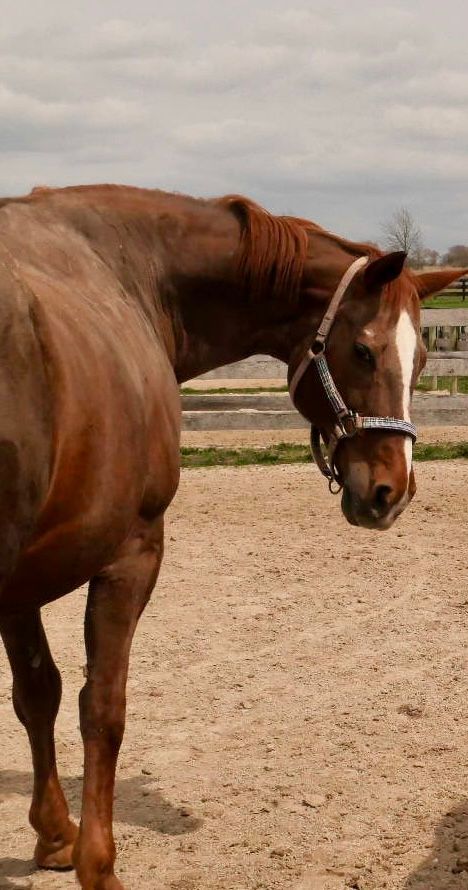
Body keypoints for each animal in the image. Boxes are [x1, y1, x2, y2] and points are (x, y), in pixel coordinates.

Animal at [0, 184, 463, 890]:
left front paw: (55, 836)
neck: (125, 271)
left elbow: (38, 694)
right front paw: (97, 864)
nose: (392, 492)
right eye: (364, 351)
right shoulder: (132, 554)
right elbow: (102, 708)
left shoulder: (26, 580)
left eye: (423, 361)